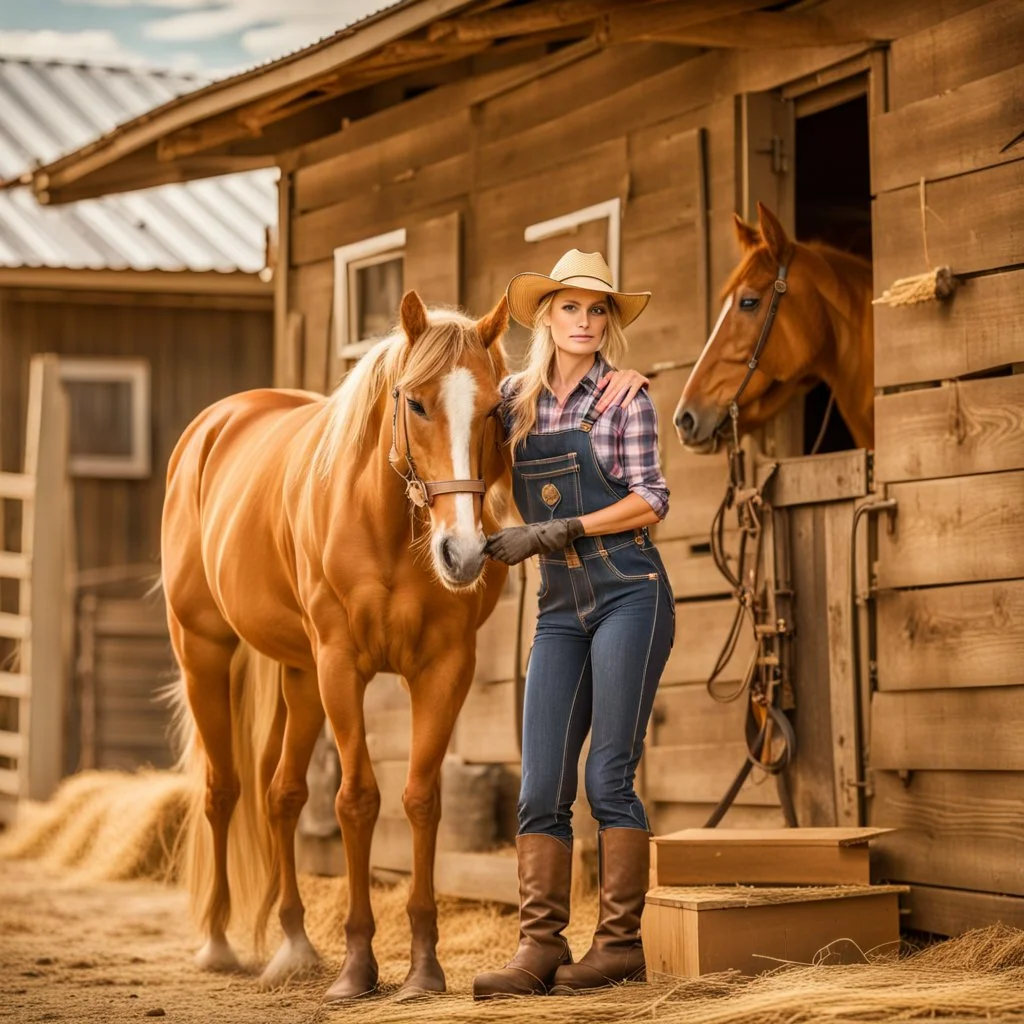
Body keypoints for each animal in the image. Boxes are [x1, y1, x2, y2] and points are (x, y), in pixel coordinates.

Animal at [163, 294, 512, 999]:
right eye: (415, 403)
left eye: (493, 408)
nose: (462, 554)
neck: (387, 525)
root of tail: (212, 426)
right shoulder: (341, 666)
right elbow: (357, 801)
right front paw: (358, 965)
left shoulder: (444, 669)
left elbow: (420, 800)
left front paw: (424, 967)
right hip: (205, 653)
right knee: (222, 789)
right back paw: (217, 941)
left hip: (299, 676)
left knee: (280, 793)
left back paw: (295, 945)